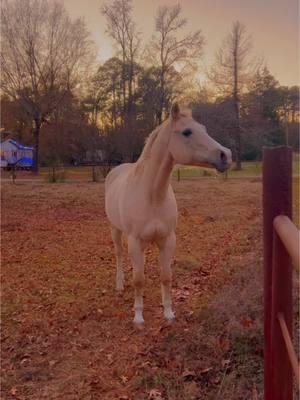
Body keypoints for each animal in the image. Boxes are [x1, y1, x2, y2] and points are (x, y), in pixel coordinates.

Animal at [105, 102, 232, 324]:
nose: (226, 155)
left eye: (204, 129)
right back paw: (119, 285)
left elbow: (166, 276)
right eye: (187, 132)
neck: (153, 196)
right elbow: (139, 280)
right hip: (116, 230)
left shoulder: (167, 240)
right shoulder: (135, 241)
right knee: (119, 254)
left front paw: (168, 312)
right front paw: (138, 316)